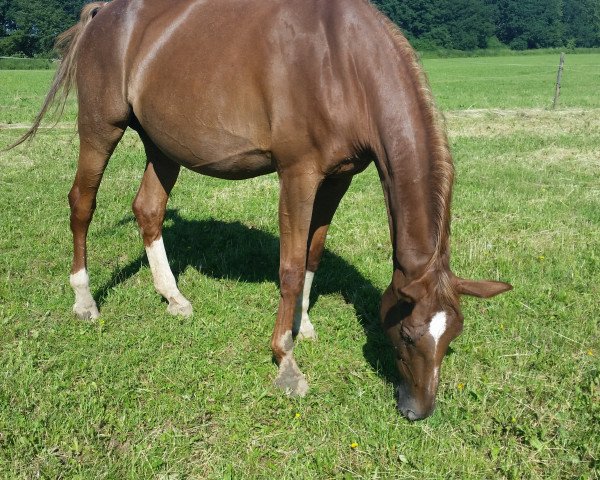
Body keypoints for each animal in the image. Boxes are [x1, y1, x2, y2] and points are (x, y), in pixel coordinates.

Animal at [10, 0, 510, 420]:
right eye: (407, 334)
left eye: (452, 337)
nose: (417, 410)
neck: (344, 64)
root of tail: (103, 13)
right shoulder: (298, 174)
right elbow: (289, 267)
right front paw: (286, 361)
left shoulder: (339, 178)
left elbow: (312, 255)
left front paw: (304, 326)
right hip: (100, 128)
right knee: (82, 204)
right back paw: (84, 299)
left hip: (162, 144)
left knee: (148, 210)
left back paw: (174, 298)